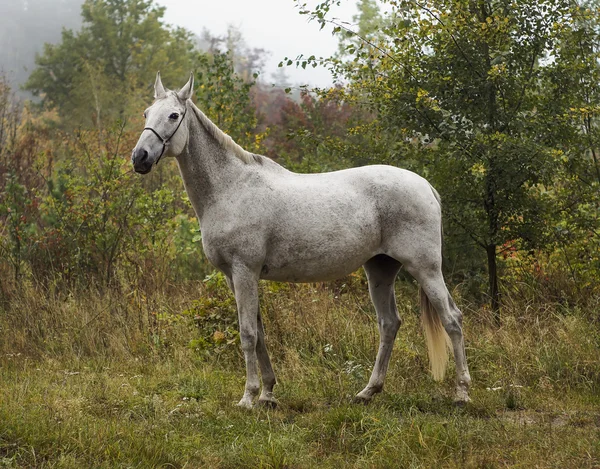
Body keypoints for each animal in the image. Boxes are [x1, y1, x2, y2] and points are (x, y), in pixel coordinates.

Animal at [132, 71, 474, 408]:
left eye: (174, 115)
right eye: (147, 113)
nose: (140, 157)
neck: (231, 187)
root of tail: (425, 185)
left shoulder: (244, 272)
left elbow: (247, 334)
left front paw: (248, 397)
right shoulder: (235, 277)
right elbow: (260, 332)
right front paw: (268, 394)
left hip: (425, 268)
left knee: (452, 320)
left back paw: (461, 393)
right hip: (380, 269)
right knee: (389, 324)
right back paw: (368, 391)